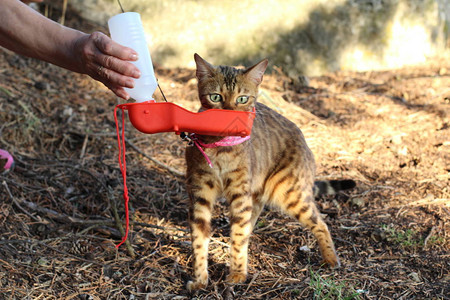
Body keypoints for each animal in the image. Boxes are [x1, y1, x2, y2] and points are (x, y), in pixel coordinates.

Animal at [185, 54, 354, 290]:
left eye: (242, 99)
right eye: (216, 97)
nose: (228, 114)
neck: (221, 149)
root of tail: (306, 146)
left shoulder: (239, 193)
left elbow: (238, 236)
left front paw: (237, 274)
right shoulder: (200, 192)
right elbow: (200, 240)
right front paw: (201, 279)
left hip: (289, 193)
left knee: (321, 223)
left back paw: (331, 259)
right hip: (258, 194)